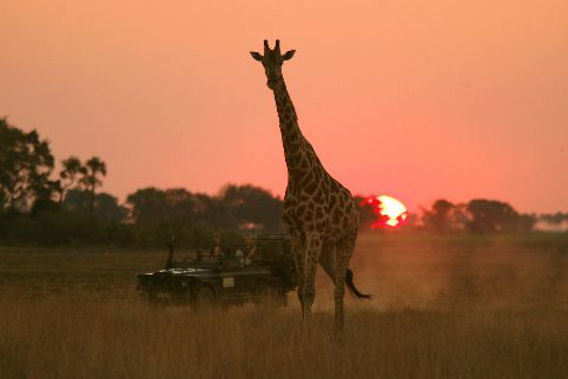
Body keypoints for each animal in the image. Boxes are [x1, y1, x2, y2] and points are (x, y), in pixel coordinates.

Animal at [252, 40, 368, 332]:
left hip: (347, 239)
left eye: (282, 60)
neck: (296, 171)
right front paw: (304, 333)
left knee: (339, 287)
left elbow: (311, 290)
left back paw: (339, 334)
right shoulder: (295, 233)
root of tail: (356, 208)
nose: (272, 80)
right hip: (327, 247)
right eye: (263, 61)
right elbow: (303, 291)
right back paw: (338, 331)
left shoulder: (313, 231)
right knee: (339, 282)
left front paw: (310, 335)